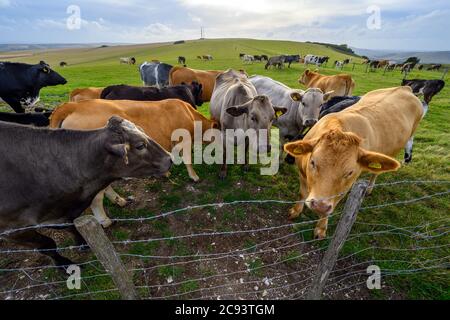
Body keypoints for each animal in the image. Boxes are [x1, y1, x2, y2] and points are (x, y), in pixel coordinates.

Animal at [0, 117, 172, 268]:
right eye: (140, 145)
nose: (169, 158)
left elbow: (71, 226)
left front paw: (83, 242)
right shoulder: (13, 230)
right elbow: (48, 245)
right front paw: (65, 265)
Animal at [49, 99, 218, 226]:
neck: (188, 113)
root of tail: (74, 105)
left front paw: (166, 172)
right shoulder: (185, 140)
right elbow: (187, 159)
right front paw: (194, 177)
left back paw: (120, 201)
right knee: (96, 198)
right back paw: (105, 221)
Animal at [284, 86, 428, 239]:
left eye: (350, 172)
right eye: (312, 162)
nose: (319, 205)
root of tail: (404, 88)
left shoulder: (344, 189)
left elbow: (331, 207)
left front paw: (321, 228)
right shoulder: (302, 174)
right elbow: (302, 193)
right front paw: (295, 211)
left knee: (376, 173)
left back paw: (369, 188)